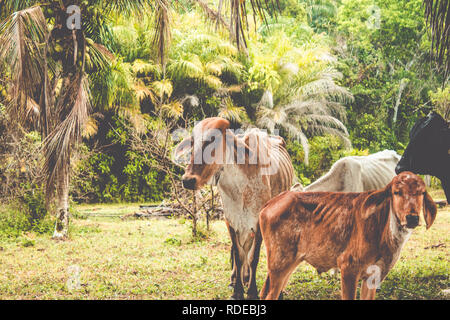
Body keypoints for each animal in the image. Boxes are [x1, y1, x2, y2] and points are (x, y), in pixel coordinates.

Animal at [174, 118, 294, 300]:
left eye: (213, 140)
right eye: (193, 143)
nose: (188, 180)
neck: (239, 187)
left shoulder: (258, 223)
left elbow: (253, 258)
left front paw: (252, 291)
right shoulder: (230, 221)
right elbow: (238, 255)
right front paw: (238, 289)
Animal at [258, 171, 438, 298]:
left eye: (422, 193)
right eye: (396, 192)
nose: (412, 218)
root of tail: (271, 202)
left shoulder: (373, 277)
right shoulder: (348, 267)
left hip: (291, 262)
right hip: (279, 263)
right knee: (270, 294)